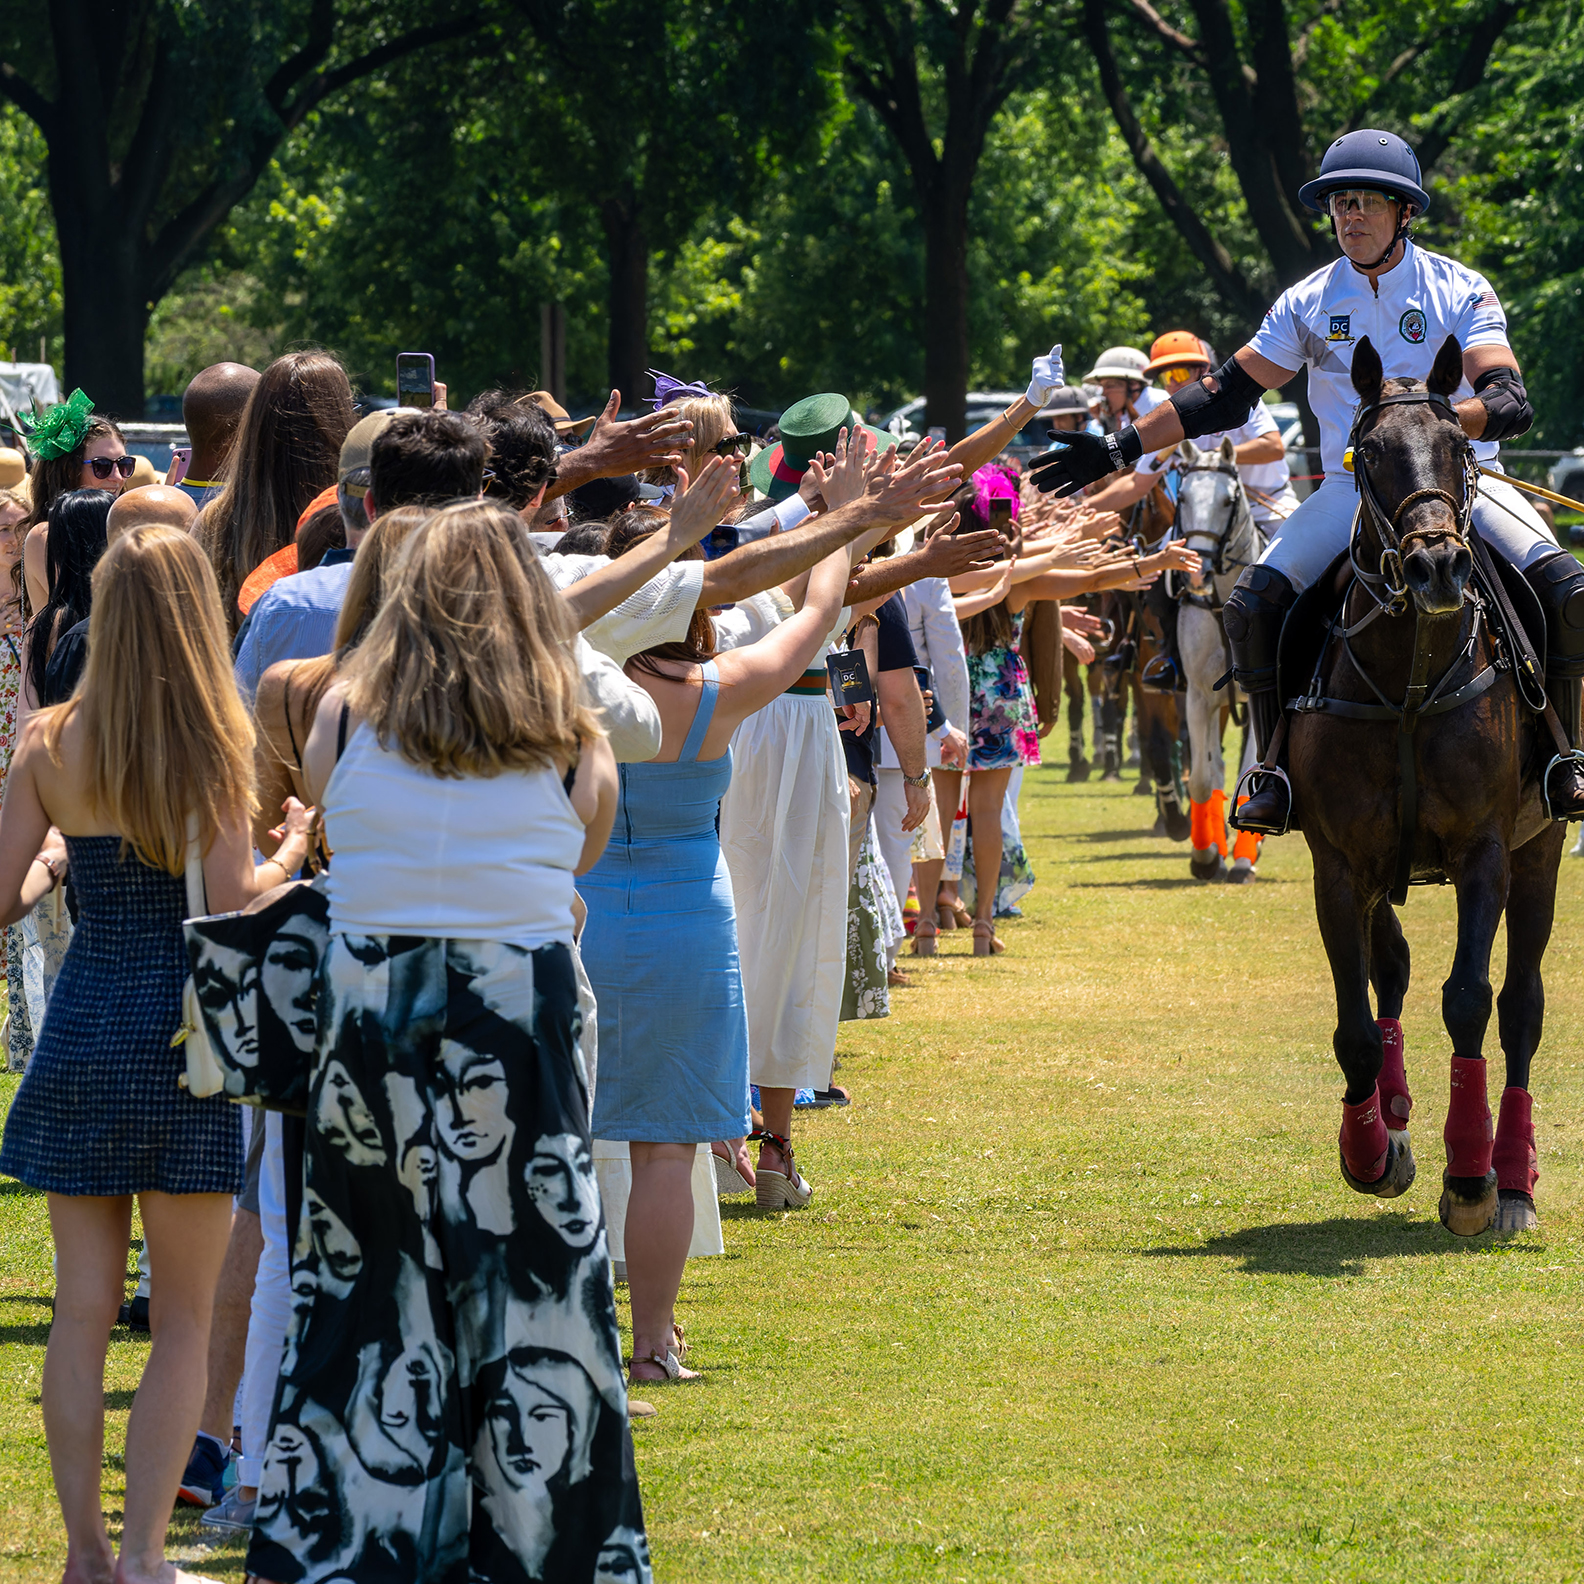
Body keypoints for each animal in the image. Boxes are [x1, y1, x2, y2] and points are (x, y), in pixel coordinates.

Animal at [1292, 337, 1564, 1235]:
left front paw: (1471, 1179)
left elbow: (1471, 998)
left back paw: (1513, 1182)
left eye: (1456, 444)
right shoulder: (1339, 863)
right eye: (1370, 452)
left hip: (1544, 846)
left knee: (1521, 1005)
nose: (1439, 564)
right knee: (1393, 970)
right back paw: (1398, 1116)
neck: (1409, 676)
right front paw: (1370, 1150)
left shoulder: (1485, 851)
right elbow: (1355, 1022)